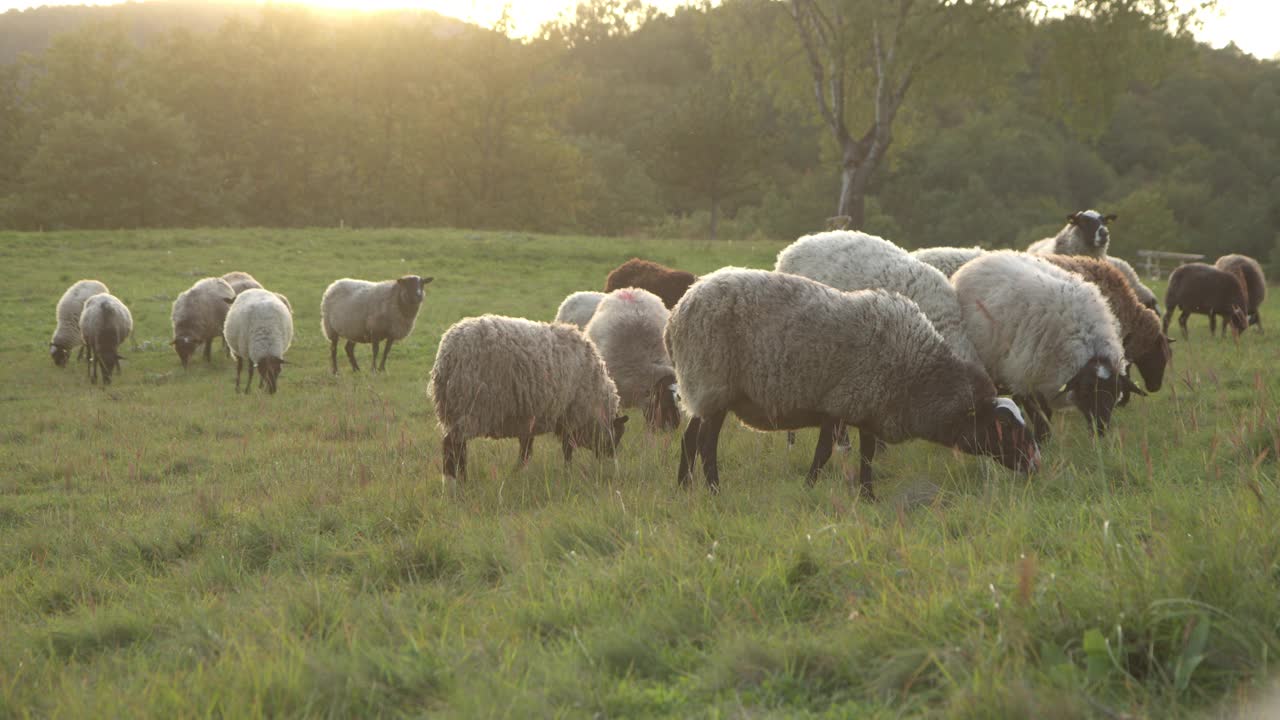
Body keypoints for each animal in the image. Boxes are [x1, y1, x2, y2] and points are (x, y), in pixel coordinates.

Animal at [430, 311, 629, 479]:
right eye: (617, 436)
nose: (611, 463)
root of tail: (447, 355)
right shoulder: (570, 415)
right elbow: (566, 451)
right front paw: (567, 473)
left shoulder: (530, 418)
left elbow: (526, 451)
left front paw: (516, 473)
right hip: (472, 407)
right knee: (451, 446)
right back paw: (455, 483)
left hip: (456, 410)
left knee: (459, 450)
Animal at [660, 266, 1039, 497]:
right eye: (1007, 428)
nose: (1037, 465)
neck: (918, 374)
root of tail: (677, 313)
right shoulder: (840, 404)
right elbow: (825, 452)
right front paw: (810, 487)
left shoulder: (868, 407)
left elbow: (867, 455)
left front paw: (868, 495)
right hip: (713, 382)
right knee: (706, 443)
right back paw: (713, 490)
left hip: (701, 389)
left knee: (689, 439)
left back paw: (683, 488)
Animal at [952, 249, 1141, 440]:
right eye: (1086, 390)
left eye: (1115, 392)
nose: (1100, 429)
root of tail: (982, 258)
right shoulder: (1024, 377)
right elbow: (1040, 419)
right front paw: (1041, 439)